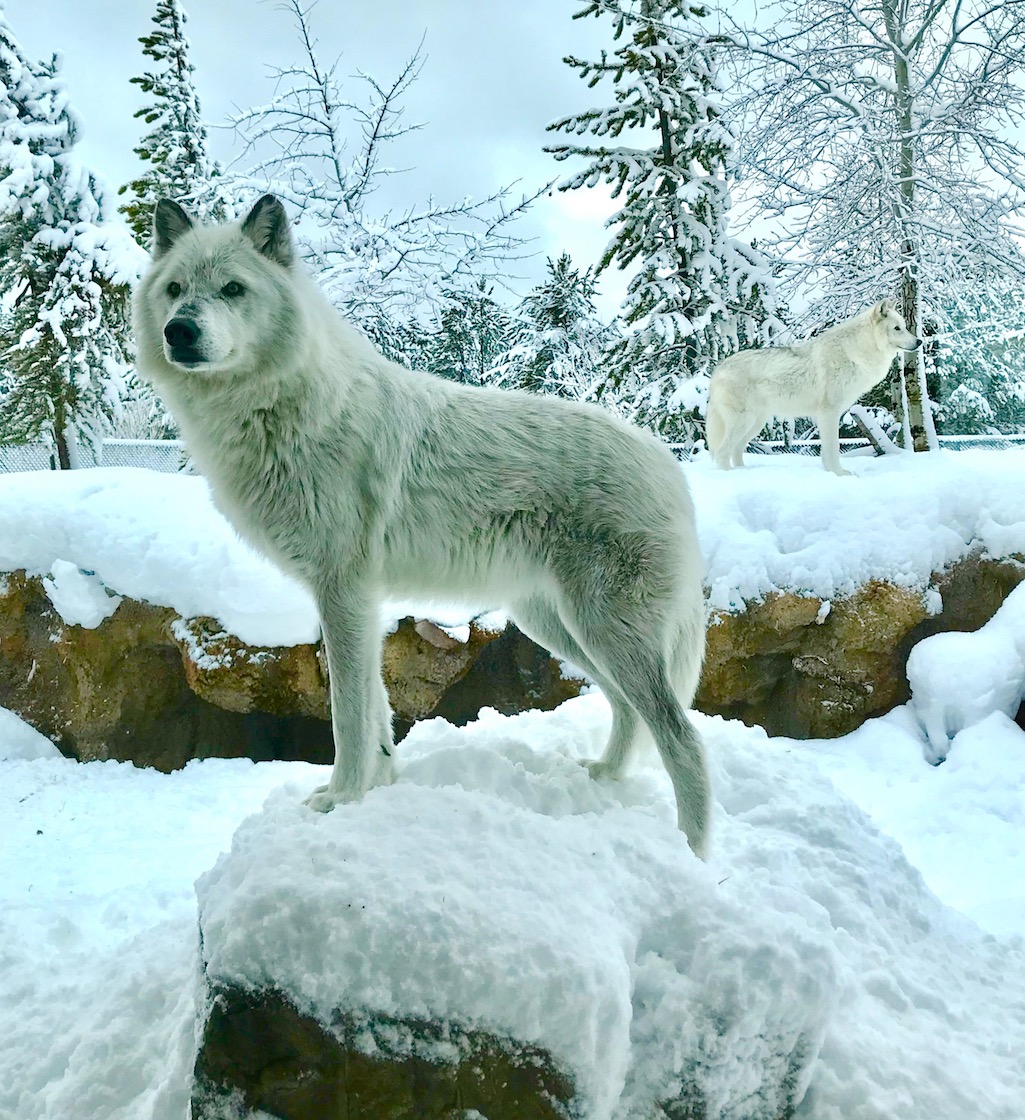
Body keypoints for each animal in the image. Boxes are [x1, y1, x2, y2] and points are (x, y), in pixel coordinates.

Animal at [132, 194, 712, 855]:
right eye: (175, 289)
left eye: (232, 288)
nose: (180, 331)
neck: (285, 408)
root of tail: (669, 466)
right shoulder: (360, 604)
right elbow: (376, 714)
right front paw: (378, 788)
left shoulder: (344, 594)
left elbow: (348, 717)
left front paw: (339, 801)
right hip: (558, 626)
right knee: (630, 710)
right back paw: (606, 780)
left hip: (600, 629)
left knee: (683, 738)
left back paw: (692, 855)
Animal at [703, 300, 923, 474]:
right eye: (897, 328)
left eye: (904, 327)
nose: (919, 341)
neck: (855, 351)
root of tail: (718, 369)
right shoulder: (828, 413)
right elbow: (833, 450)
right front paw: (839, 475)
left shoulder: (828, 415)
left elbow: (826, 452)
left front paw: (830, 473)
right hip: (744, 421)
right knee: (722, 452)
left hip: (755, 424)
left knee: (735, 450)